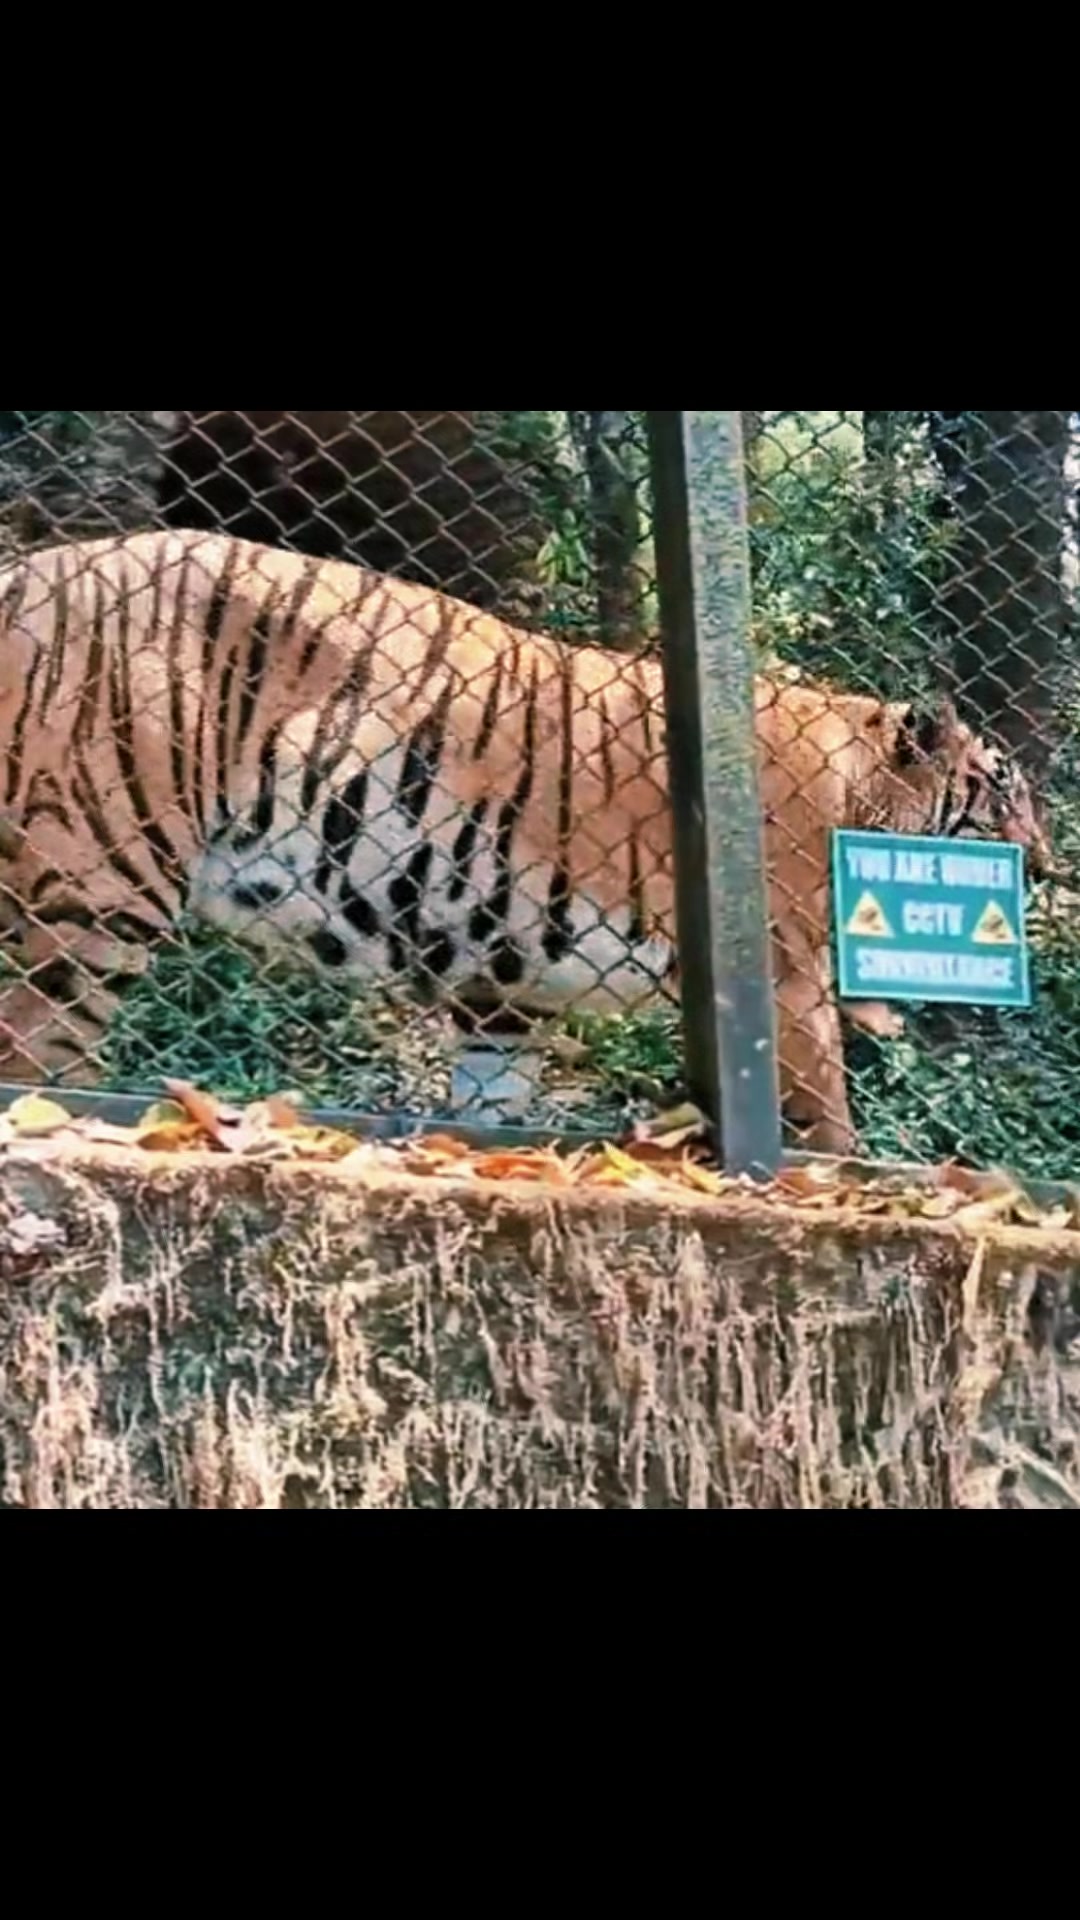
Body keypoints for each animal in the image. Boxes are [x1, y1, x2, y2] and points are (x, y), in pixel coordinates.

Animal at [0, 527, 1054, 1154]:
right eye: (1001, 792)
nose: (1045, 867)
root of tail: (35, 567)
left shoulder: (502, 982)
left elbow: (490, 1104)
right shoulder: (784, 985)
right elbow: (824, 1119)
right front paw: (835, 1179)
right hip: (101, 873)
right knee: (42, 1057)